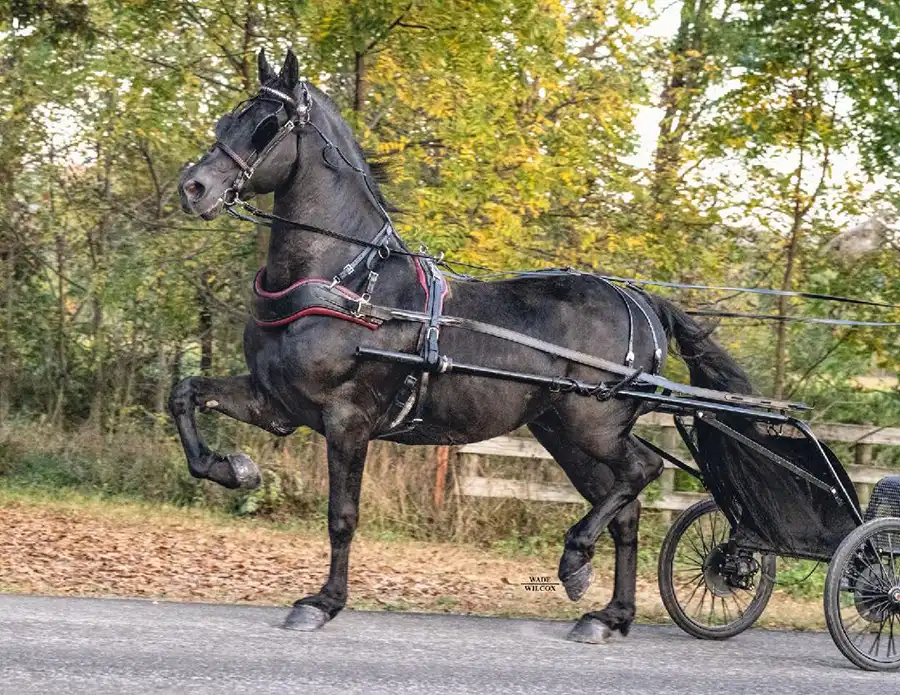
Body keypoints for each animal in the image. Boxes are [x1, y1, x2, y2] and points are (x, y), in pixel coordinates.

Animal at [171, 49, 752, 644]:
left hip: (593, 424)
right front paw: (233, 469)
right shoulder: (276, 403)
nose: (193, 187)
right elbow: (185, 394)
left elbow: (342, 516)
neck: (347, 282)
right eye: (227, 118)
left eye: (267, 124)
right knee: (627, 510)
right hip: (562, 433)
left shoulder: (346, 419)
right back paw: (609, 614)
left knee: (641, 472)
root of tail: (637, 298)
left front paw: (323, 602)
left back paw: (575, 559)